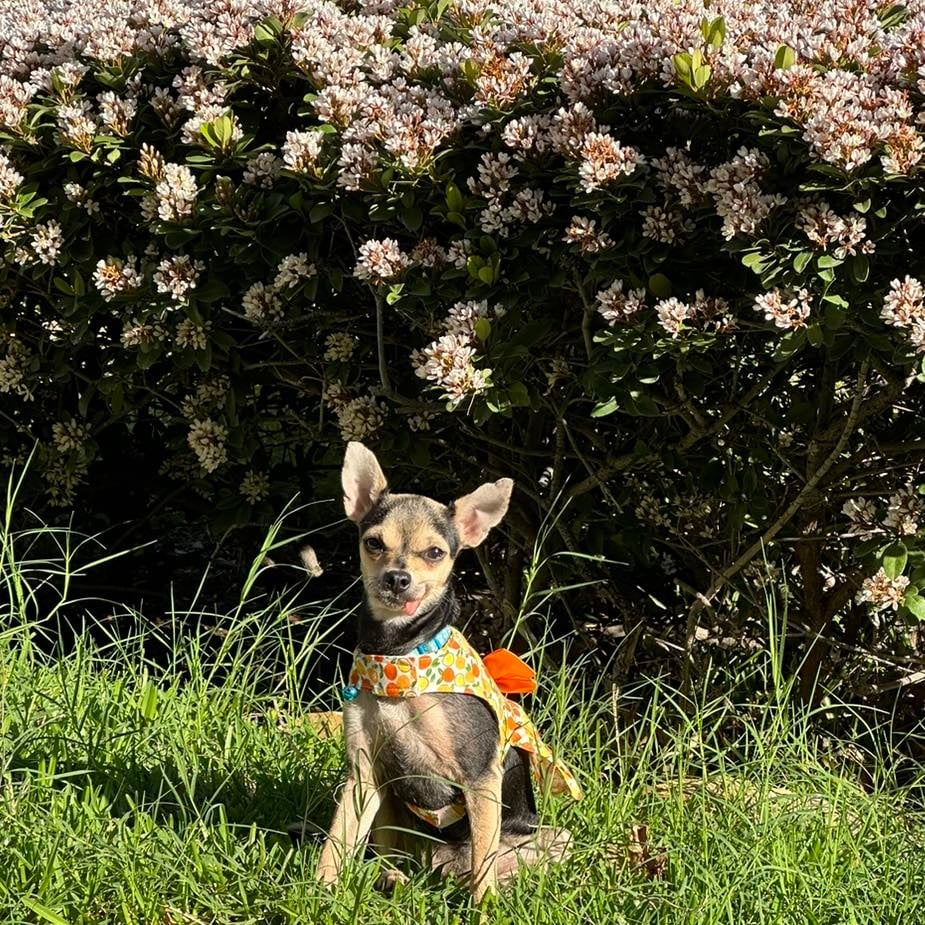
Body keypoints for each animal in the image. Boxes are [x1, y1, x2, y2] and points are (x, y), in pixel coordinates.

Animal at [318, 444, 576, 900]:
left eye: (435, 553)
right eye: (373, 543)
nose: (397, 578)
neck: (401, 656)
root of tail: (439, 868)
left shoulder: (480, 779)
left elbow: (483, 863)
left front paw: (483, 907)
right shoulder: (363, 773)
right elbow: (337, 840)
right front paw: (319, 890)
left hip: (552, 838)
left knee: (492, 864)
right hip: (389, 806)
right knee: (392, 854)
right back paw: (392, 877)